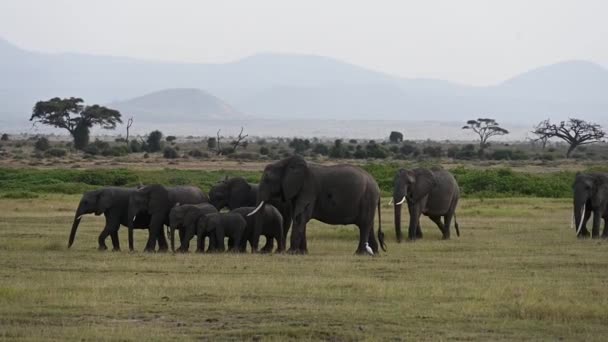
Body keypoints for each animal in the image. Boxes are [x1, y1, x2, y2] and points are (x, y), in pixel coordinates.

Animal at [247, 154, 384, 254]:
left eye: (267, 180)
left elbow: (300, 217)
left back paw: (359, 253)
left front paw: (291, 252)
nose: (257, 251)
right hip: (368, 201)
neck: (287, 163)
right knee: (369, 224)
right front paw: (301, 253)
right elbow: (300, 217)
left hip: (367, 198)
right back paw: (374, 253)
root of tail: (377, 188)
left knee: (364, 225)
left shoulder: (308, 188)